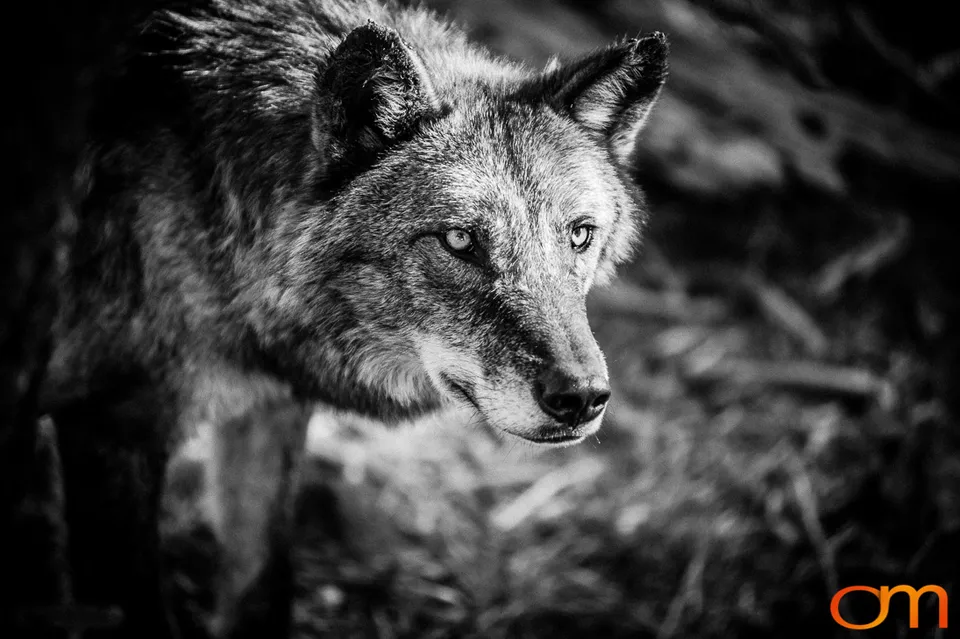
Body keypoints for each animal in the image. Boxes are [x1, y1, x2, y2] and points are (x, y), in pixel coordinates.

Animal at [37, 0, 667, 636]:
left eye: (579, 235)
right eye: (459, 240)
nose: (582, 398)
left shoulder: (270, 409)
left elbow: (262, 584)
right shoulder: (114, 424)